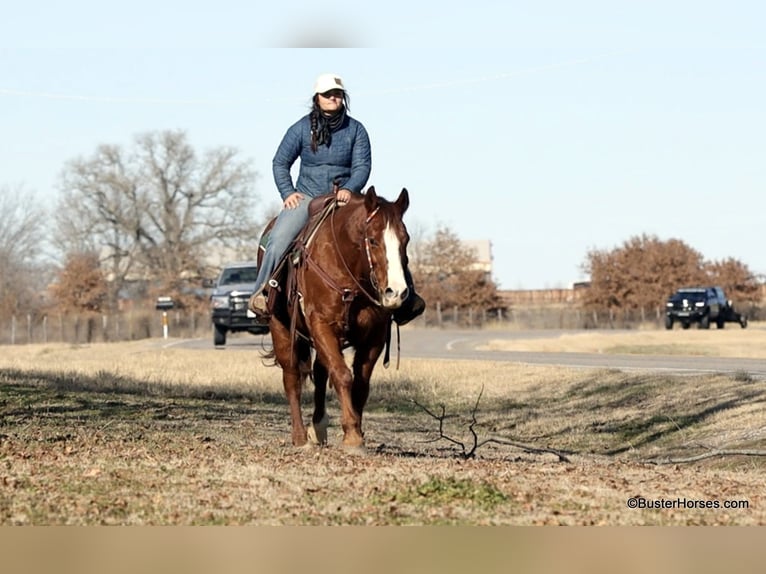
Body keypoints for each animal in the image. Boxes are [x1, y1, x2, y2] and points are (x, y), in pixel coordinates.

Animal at [260, 187, 414, 452]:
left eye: (406, 240)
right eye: (373, 240)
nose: (396, 292)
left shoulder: (374, 335)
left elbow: (360, 383)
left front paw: (357, 432)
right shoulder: (321, 323)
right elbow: (342, 375)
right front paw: (352, 436)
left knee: (321, 372)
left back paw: (319, 427)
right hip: (281, 328)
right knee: (292, 377)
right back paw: (300, 437)